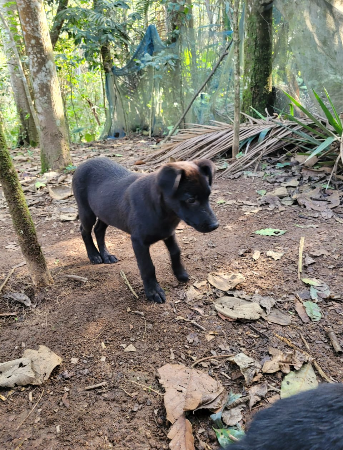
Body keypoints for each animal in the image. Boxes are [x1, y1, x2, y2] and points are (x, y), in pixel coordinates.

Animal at [72, 157, 219, 302]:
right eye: (191, 200)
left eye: (208, 195)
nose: (215, 225)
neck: (163, 211)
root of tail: (84, 163)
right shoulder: (139, 242)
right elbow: (147, 267)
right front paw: (153, 291)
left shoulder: (168, 233)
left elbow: (176, 251)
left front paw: (180, 273)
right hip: (87, 212)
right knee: (84, 231)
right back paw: (94, 255)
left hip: (105, 212)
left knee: (99, 230)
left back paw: (106, 255)